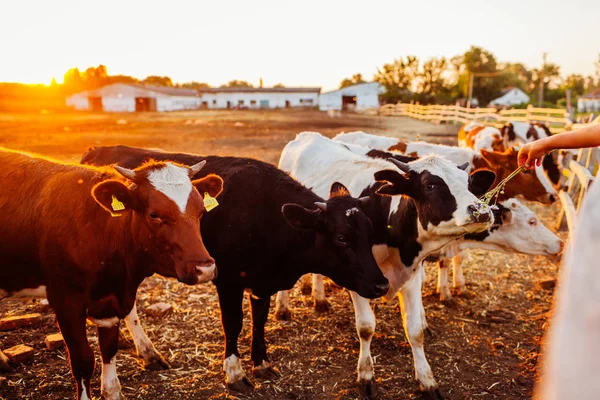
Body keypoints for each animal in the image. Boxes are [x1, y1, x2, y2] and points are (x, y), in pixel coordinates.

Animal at [0, 149, 224, 400]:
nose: (204, 269)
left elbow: (108, 349)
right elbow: (82, 360)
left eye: (201, 211)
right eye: (154, 214)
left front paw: (112, 390)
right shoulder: (66, 301)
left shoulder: (111, 299)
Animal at [79, 145, 390, 394]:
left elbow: (259, 320)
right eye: (341, 238)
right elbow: (233, 323)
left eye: (370, 232)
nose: (382, 285)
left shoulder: (262, 282)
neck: (268, 216)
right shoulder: (227, 279)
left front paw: (261, 362)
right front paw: (234, 373)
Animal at [274, 132, 494, 396]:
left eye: (469, 184)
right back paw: (284, 308)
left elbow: (415, 330)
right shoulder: (359, 278)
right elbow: (366, 327)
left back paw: (319, 298)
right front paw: (366, 375)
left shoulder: (412, 276)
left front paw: (427, 379)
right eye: (430, 185)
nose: (482, 211)